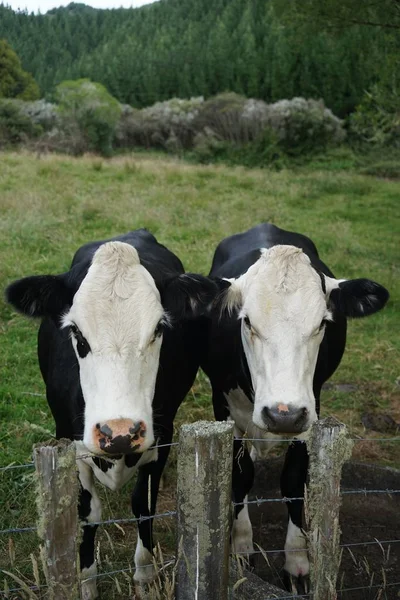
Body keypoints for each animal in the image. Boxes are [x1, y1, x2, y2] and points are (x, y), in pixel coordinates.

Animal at [5, 230, 219, 600]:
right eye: (76, 332)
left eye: (159, 328)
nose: (119, 432)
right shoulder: (71, 444)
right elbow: (87, 514)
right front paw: (87, 582)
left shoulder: (161, 438)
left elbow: (144, 507)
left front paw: (145, 576)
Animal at [202, 223, 390, 592]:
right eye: (247, 322)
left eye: (322, 323)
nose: (281, 414)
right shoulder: (223, 405)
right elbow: (240, 476)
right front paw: (241, 546)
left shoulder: (308, 410)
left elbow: (292, 481)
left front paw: (296, 561)